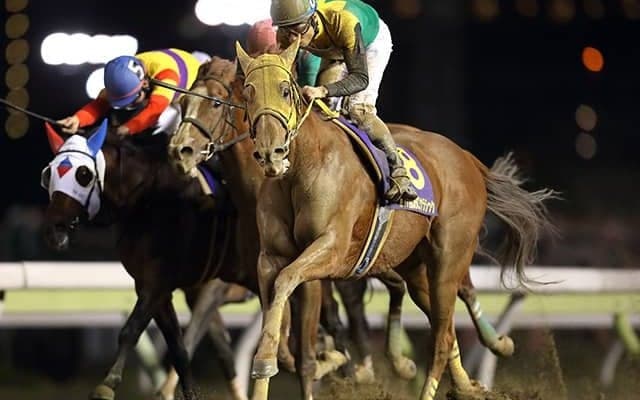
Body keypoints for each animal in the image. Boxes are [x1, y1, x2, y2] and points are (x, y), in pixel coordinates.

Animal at [41, 121, 257, 400]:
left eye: (83, 174)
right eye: (49, 174)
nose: (53, 230)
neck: (150, 202)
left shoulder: (181, 284)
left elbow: (133, 331)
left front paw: (107, 385)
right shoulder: (155, 285)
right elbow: (183, 348)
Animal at [233, 38, 556, 400]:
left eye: (286, 90)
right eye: (247, 92)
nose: (270, 153)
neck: (304, 165)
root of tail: (467, 159)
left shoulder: (331, 249)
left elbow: (287, 282)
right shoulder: (270, 258)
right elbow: (276, 295)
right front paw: (269, 361)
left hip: (449, 258)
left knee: (442, 337)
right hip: (414, 265)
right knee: (444, 324)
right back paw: (469, 381)